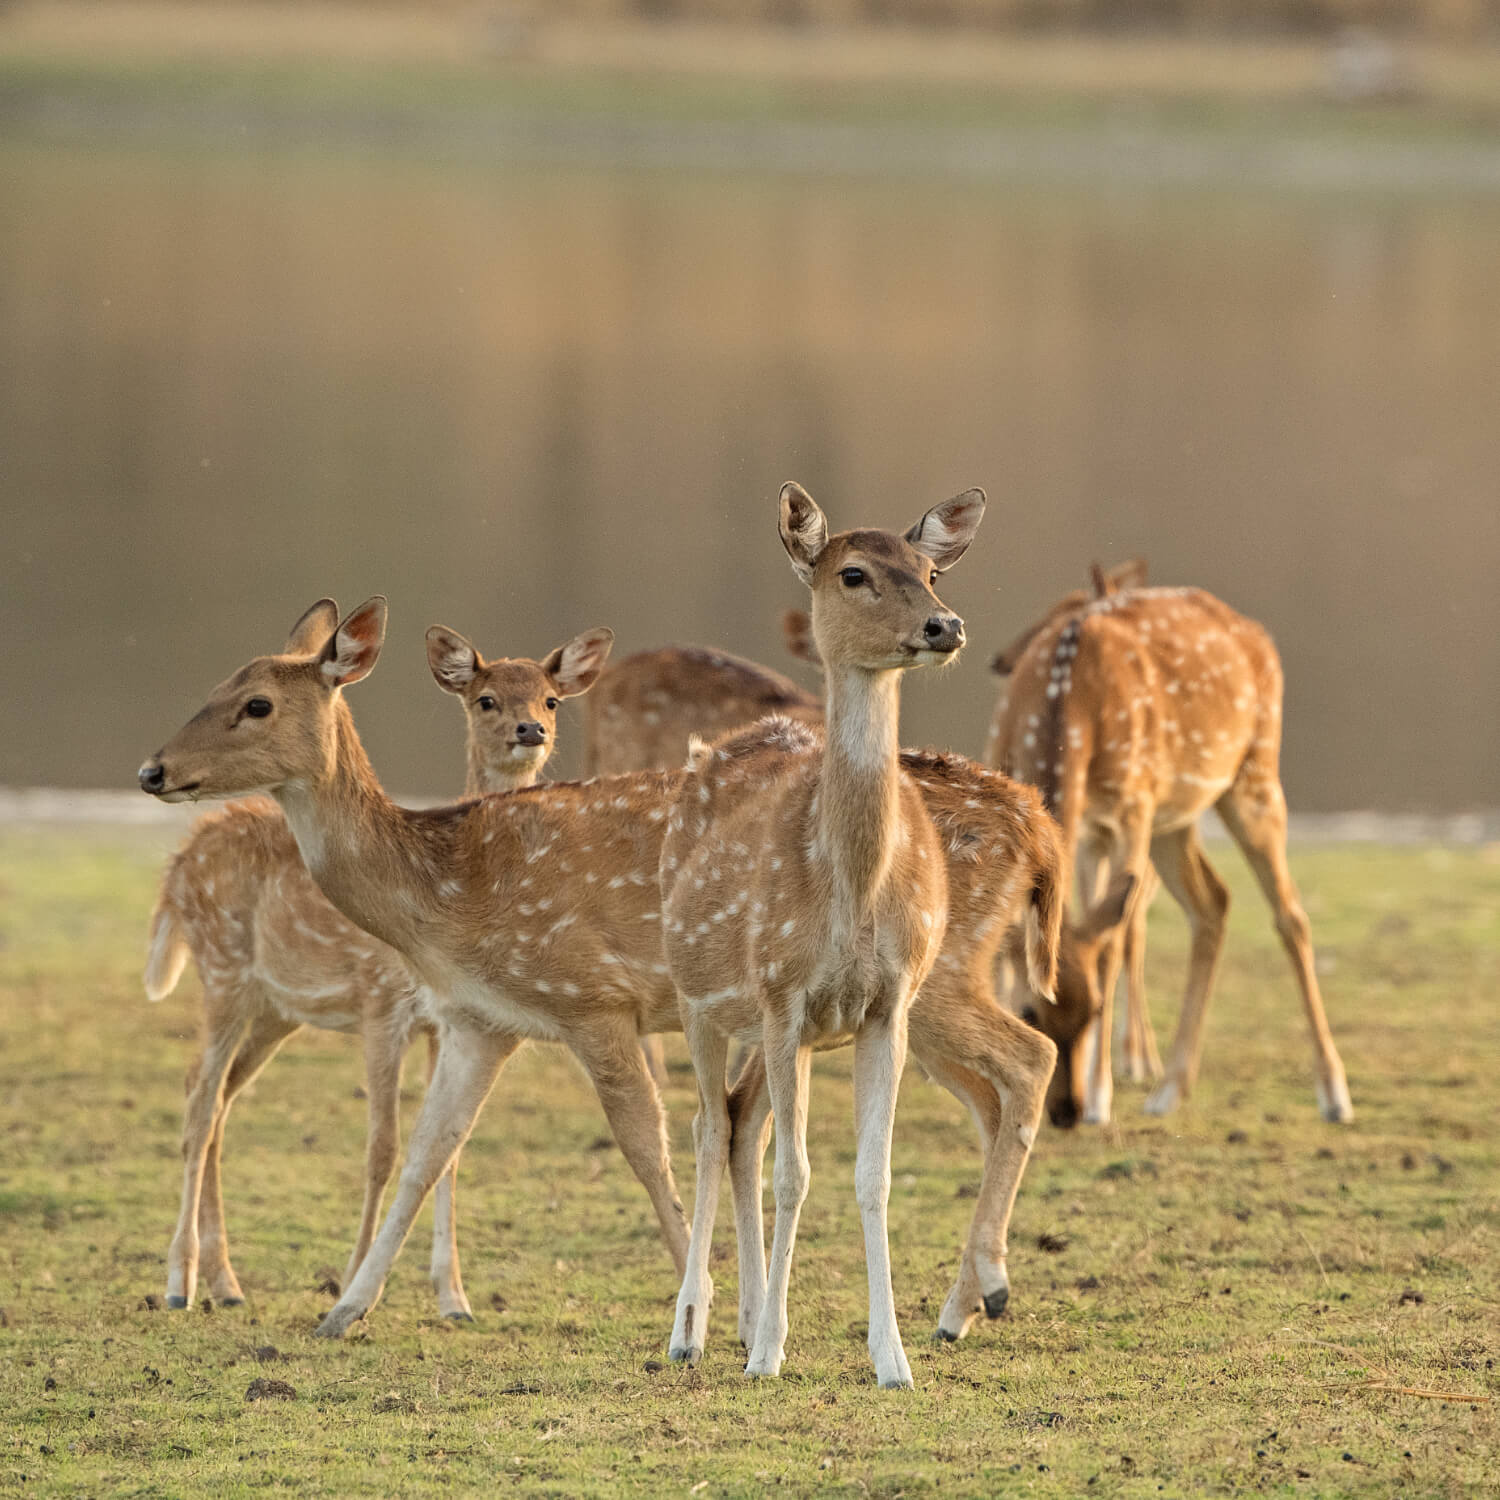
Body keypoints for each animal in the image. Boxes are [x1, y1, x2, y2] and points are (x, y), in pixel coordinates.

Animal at [663, 486, 1050, 1386]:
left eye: (931, 572)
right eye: (853, 572)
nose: (945, 625)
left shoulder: (884, 1006)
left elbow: (871, 1176)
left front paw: (890, 1357)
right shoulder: (781, 996)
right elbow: (795, 1175)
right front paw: (768, 1354)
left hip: (850, 1014)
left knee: (742, 1122)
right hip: (701, 997)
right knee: (709, 1127)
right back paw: (694, 1329)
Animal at [990, 582, 1356, 1128]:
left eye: (1093, 1010)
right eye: (1028, 1012)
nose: (1066, 1111)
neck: (1066, 709)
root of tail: (1257, 635)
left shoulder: (1132, 808)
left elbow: (1112, 944)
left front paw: (1101, 1097)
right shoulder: (1077, 821)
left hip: (1254, 775)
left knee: (1290, 914)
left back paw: (1334, 1094)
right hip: (1177, 819)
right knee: (1213, 903)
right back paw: (1169, 1089)